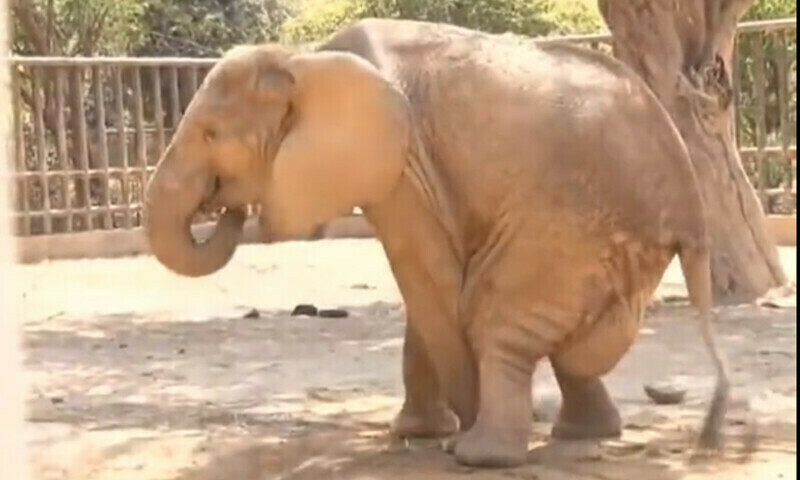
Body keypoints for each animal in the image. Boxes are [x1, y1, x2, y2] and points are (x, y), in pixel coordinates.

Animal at [144, 18, 730, 468]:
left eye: (211, 135)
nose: (226, 204)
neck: (302, 60)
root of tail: (693, 210)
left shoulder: (402, 166)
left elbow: (430, 281)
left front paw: (450, 434)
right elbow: (423, 291)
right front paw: (419, 432)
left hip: (570, 223)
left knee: (494, 313)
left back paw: (483, 455)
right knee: (566, 340)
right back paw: (581, 434)